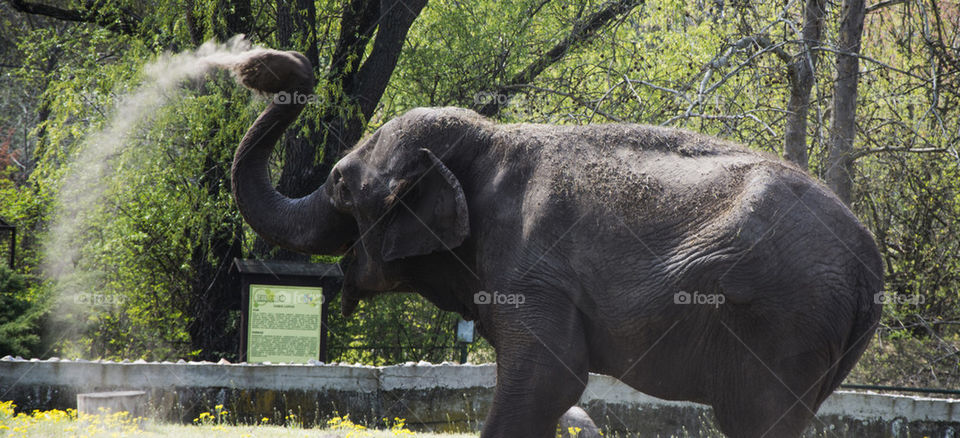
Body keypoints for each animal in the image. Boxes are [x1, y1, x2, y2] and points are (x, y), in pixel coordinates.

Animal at [224, 49, 883, 438]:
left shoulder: (533, 272)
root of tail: (871, 262)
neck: (490, 141)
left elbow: (547, 380)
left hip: (782, 323)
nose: (279, 66)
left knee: (756, 420)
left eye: (340, 184)